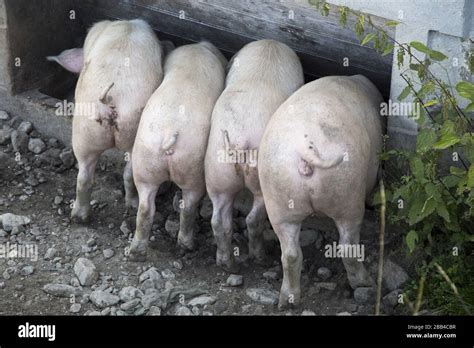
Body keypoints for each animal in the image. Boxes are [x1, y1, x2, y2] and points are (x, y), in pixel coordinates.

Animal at [48, 19, 166, 222]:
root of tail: (110, 100)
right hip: (121, 133)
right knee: (122, 173)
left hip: (85, 132)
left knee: (84, 176)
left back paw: (80, 217)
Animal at [128, 41, 228, 260]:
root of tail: (169, 135)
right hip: (193, 169)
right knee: (188, 207)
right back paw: (188, 245)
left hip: (145, 164)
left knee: (145, 208)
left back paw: (137, 251)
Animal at [205, 38, 304, 272]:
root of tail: (241, 141)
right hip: (261, 181)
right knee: (252, 219)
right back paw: (260, 257)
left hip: (217, 170)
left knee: (218, 220)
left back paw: (227, 264)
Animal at [258, 75, 384, 308]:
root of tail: (306, 146)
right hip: (348, 193)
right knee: (347, 247)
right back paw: (365, 283)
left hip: (277, 199)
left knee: (290, 254)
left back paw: (287, 301)